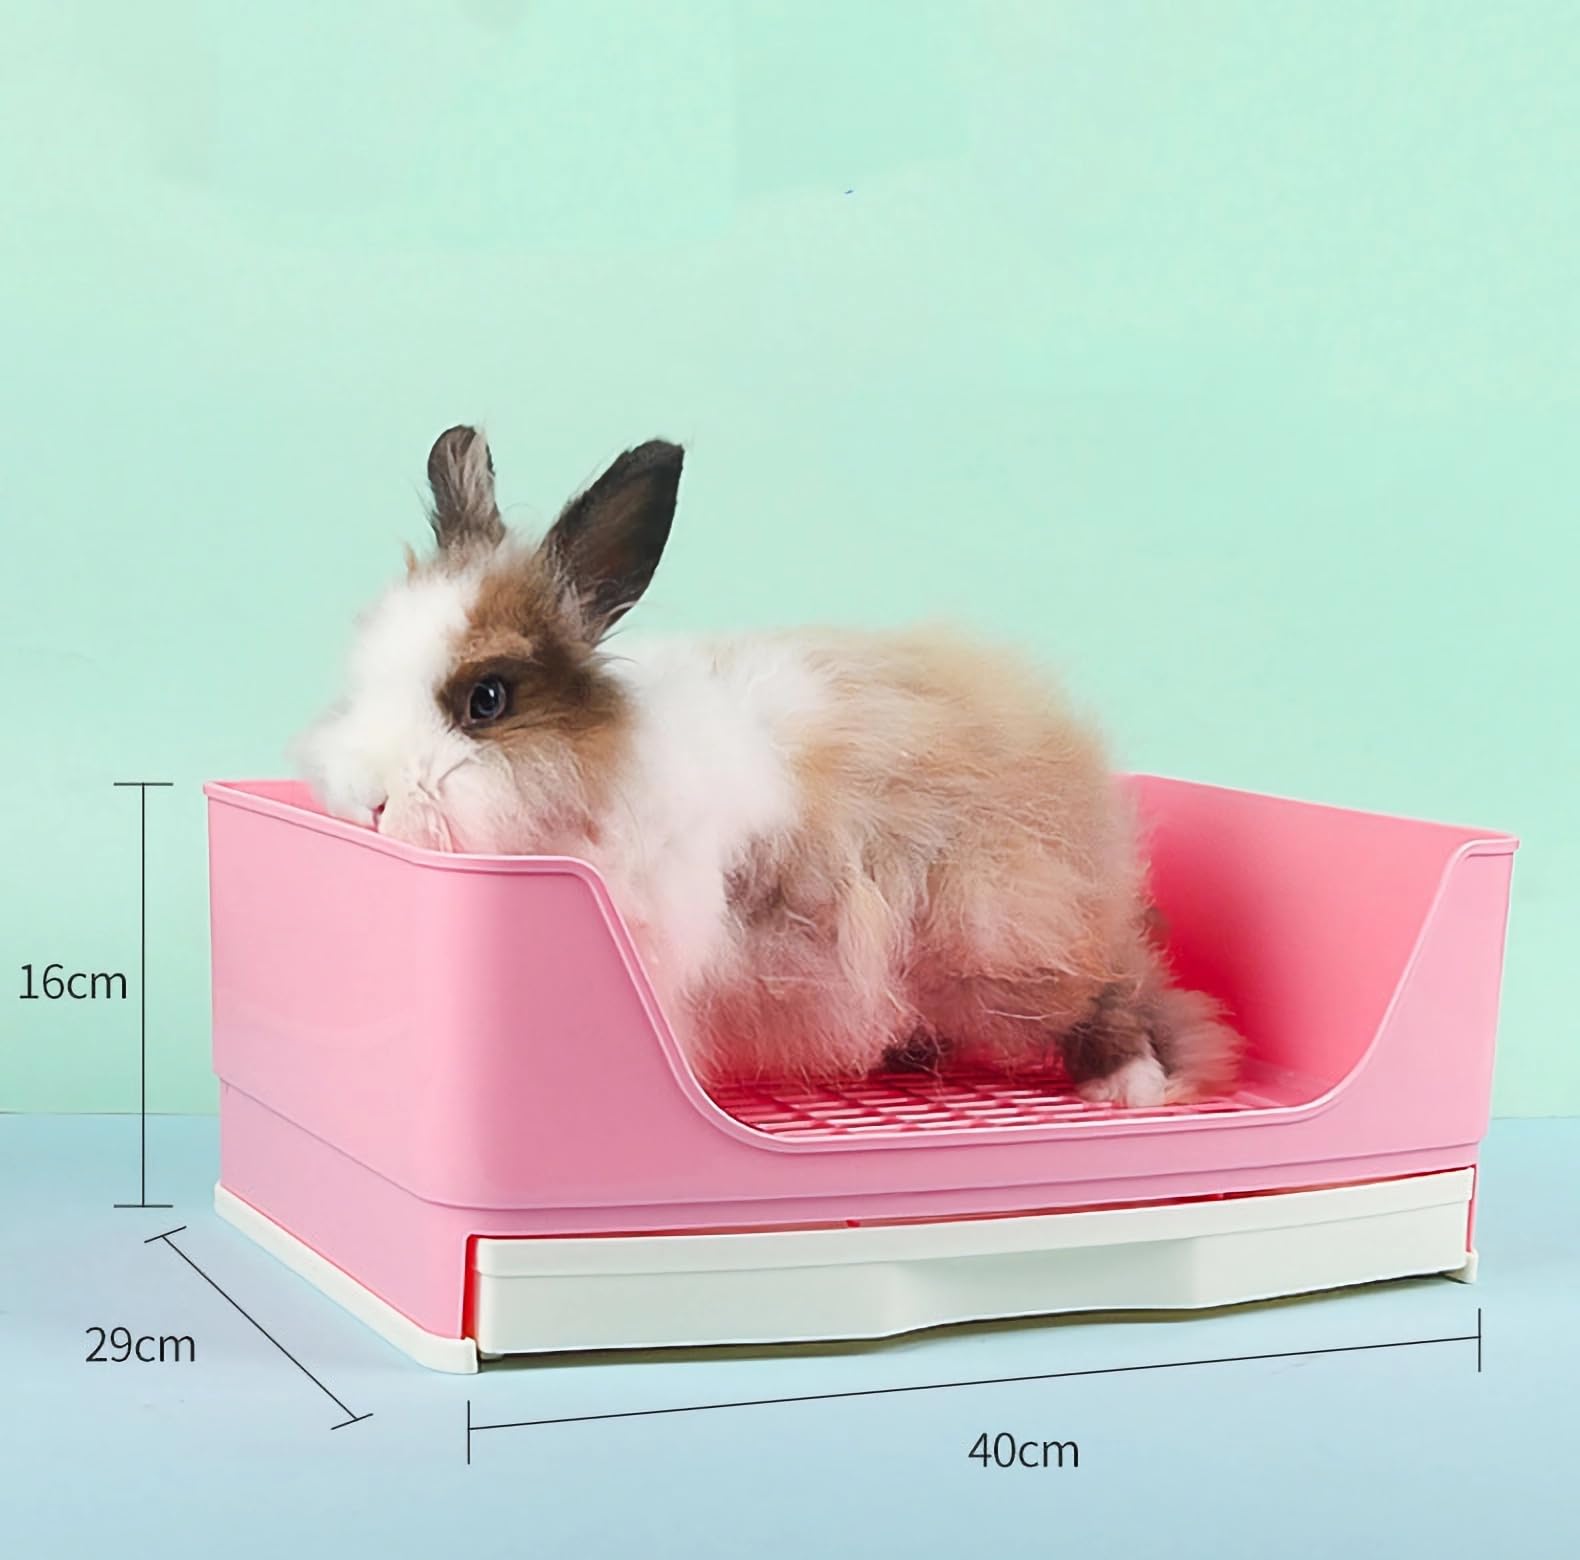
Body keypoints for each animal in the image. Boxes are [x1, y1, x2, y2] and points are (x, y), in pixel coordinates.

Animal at [296, 426, 1241, 1106]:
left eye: (487, 700)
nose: (366, 800)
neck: (596, 782)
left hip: (1007, 929)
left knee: (1108, 987)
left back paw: (1131, 1086)